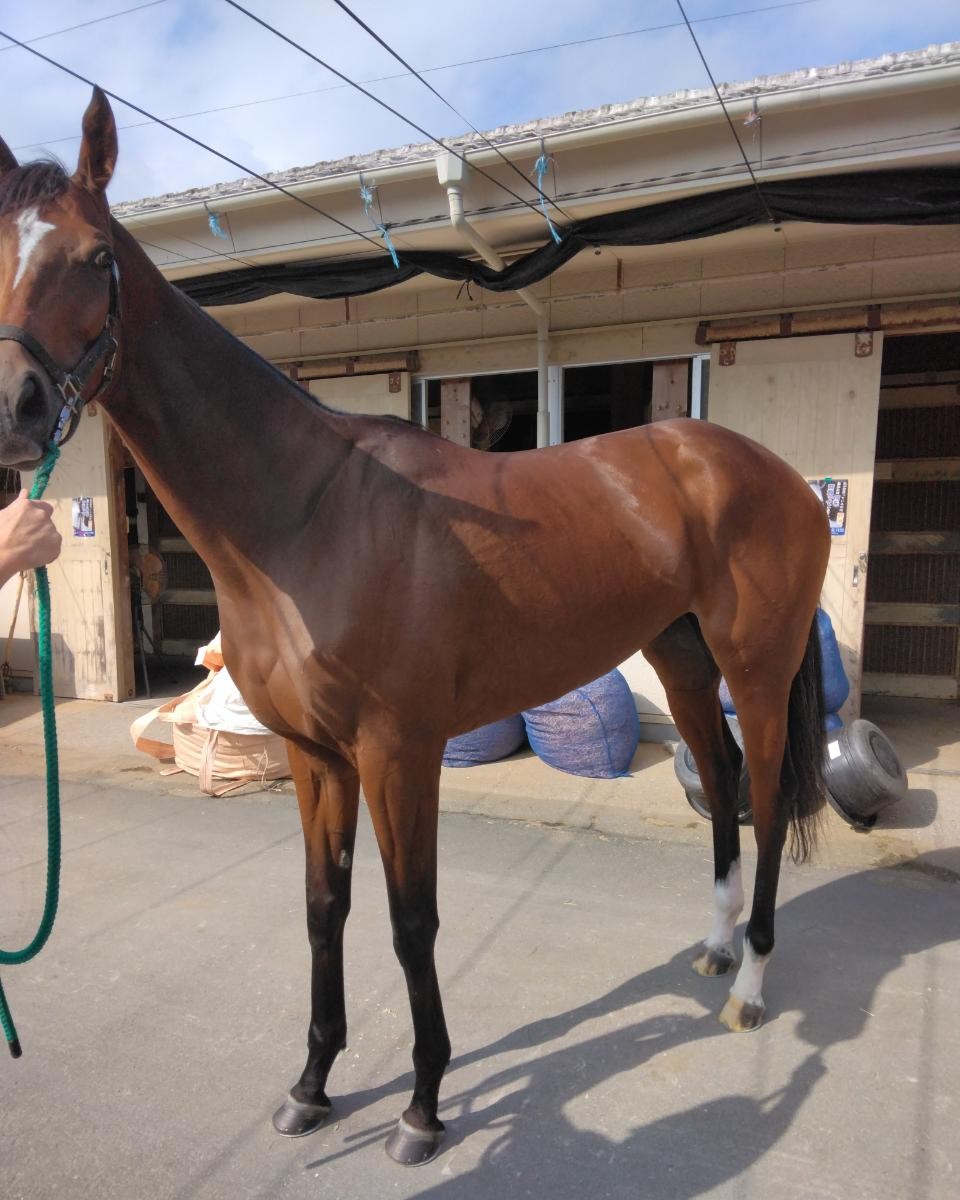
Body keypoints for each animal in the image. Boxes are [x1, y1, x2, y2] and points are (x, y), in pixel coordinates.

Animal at [0, 90, 830, 1165]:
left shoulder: (400, 754)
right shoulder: (316, 756)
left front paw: (423, 1108)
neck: (304, 514)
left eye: (94, 256)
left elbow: (409, 921)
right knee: (722, 781)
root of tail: (779, 476)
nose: (12, 410)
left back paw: (752, 984)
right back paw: (719, 947)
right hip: (681, 656)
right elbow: (325, 910)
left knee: (765, 799)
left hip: (756, 669)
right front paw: (312, 1087)